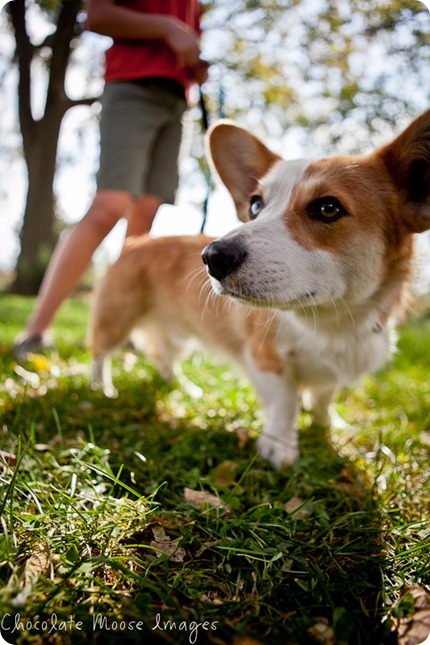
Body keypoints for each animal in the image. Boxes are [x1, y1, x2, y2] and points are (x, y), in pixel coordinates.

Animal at [91, 108, 430, 466]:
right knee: (100, 352)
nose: (212, 257)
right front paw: (280, 447)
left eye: (328, 208)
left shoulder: (332, 373)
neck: (330, 323)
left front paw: (326, 427)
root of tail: (135, 243)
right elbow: (285, 403)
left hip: (177, 335)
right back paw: (102, 389)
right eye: (255, 205)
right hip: (115, 321)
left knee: (165, 358)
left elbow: (323, 398)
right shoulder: (266, 359)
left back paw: (183, 387)